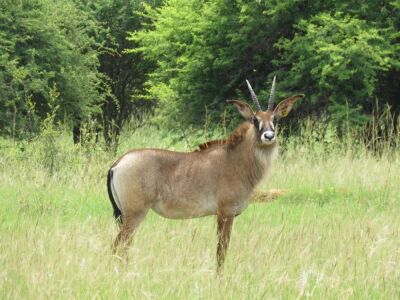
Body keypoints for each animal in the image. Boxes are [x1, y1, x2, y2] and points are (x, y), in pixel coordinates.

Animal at [107, 78, 304, 274]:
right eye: (255, 120)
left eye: (275, 119)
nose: (269, 136)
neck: (235, 160)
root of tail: (118, 163)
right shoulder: (225, 213)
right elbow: (221, 252)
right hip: (135, 214)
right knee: (118, 245)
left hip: (125, 216)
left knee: (123, 247)